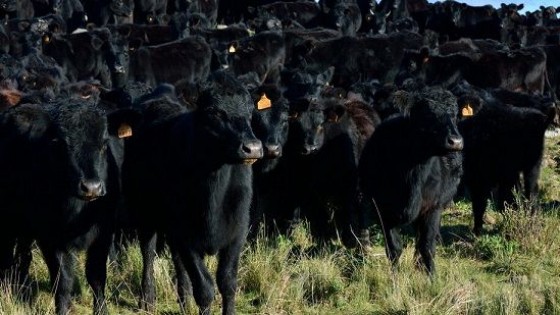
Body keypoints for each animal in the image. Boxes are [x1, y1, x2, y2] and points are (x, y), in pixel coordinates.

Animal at [123, 70, 264, 314]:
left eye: (250, 109)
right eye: (213, 111)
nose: (252, 148)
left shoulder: (237, 232)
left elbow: (227, 282)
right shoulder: (185, 234)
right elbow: (205, 288)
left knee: (177, 261)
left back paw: (184, 299)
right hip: (144, 212)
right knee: (148, 253)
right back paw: (147, 300)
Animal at [358, 86, 464, 274]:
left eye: (454, 114)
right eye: (428, 114)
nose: (456, 141)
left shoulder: (433, 207)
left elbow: (427, 246)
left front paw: (432, 277)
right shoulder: (383, 209)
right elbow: (394, 248)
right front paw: (394, 276)